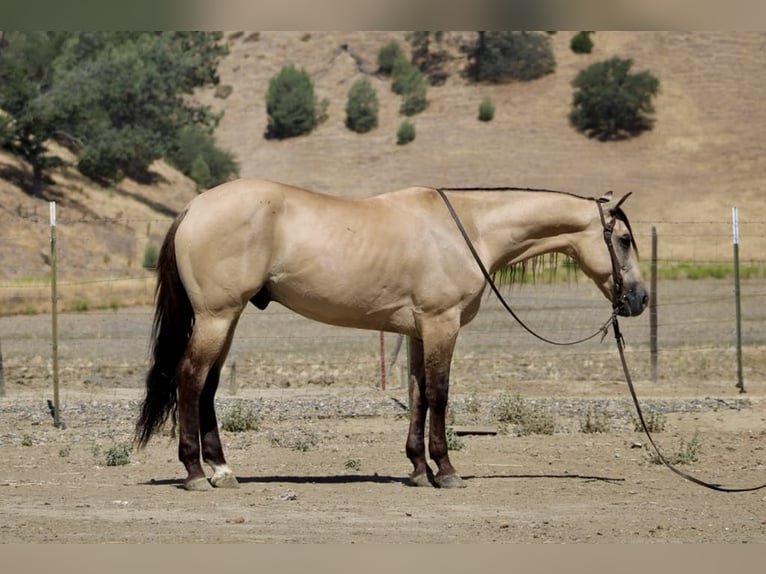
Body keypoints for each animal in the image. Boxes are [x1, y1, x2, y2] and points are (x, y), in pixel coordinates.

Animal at [134, 178, 648, 491]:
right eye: (623, 240)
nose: (640, 299)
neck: (470, 230)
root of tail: (194, 207)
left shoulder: (420, 329)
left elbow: (419, 395)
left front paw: (419, 469)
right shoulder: (442, 323)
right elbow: (439, 394)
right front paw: (446, 471)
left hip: (227, 318)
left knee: (207, 387)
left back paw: (222, 469)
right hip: (217, 316)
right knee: (189, 378)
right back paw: (195, 471)